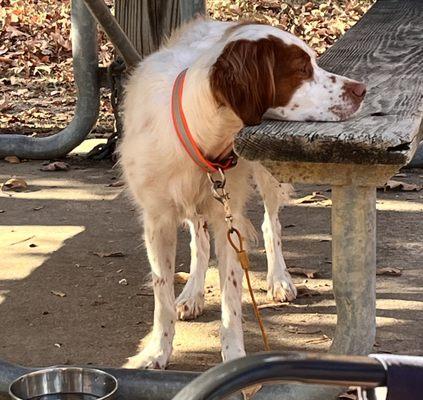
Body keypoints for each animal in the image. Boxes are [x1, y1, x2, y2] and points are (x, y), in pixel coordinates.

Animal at [120, 18, 368, 368]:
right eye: (301, 69)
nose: (361, 89)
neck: (201, 132)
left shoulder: (230, 222)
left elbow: (232, 299)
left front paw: (233, 355)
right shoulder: (158, 221)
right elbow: (162, 292)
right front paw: (157, 351)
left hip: (267, 172)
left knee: (271, 224)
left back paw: (279, 278)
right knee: (199, 240)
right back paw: (193, 293)